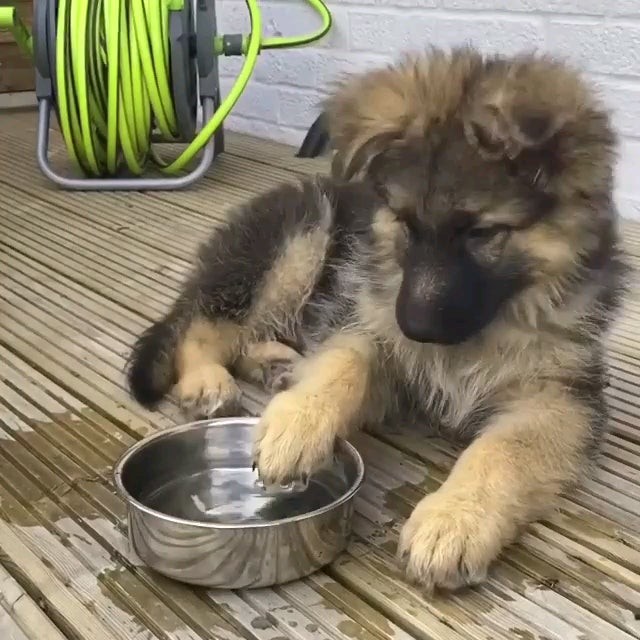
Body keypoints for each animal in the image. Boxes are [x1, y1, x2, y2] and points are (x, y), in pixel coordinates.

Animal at [127, 47, 628, 592]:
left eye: (482, 232)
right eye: (406, 223)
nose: (415, 330)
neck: (493, 320)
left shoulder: (559, 398)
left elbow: (502, 450)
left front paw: (456, 518)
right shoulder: (366, 323)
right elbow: (343, 362)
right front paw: (297, 425)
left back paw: (276, 364)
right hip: (303, 237)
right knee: (204, 324)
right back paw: (207, 381)